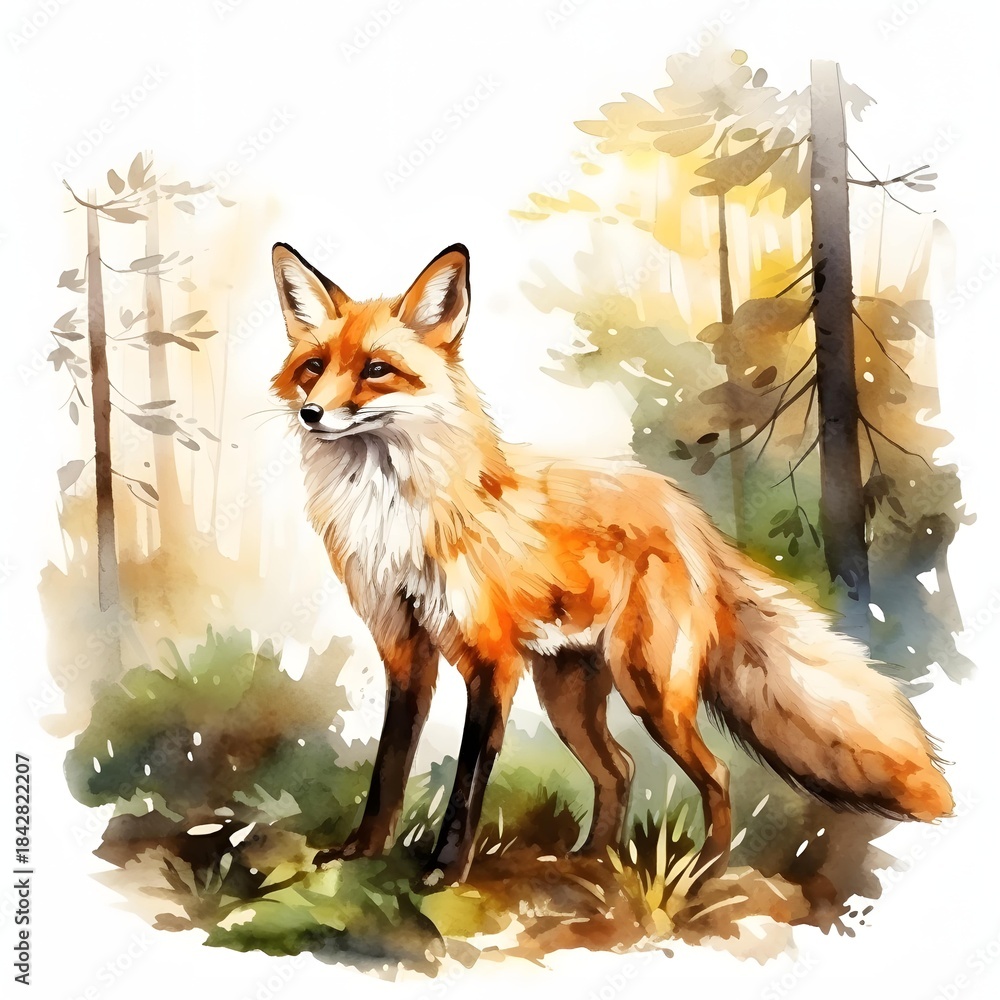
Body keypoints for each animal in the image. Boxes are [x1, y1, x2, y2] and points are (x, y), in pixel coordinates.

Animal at [270, 240, 953, 885]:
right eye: (314, 368)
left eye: (376, 371)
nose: (312, 413)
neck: (397, 517)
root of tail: (689, 514)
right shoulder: (405, 651)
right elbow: (388, 768)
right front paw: (360, 855)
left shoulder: (492, 663)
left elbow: (466, 785)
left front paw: (443, 871)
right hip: (569, 695)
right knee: (619, 770)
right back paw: (590, 860)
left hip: (648, 690)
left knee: (716, 772)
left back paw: (704, 874)